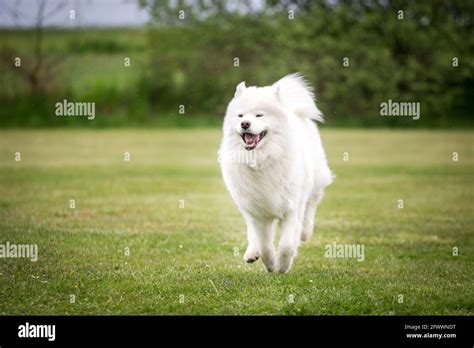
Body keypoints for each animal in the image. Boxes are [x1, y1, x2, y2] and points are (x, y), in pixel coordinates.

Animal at [219, 73, 334, 274]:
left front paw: (282, 266)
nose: (244, 123)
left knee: (310, 206)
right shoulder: (258, 211)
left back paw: (304, 232)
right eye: (240, 115)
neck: (262, 159)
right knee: (252, 233)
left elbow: (287, 244)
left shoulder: (291, 207)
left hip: (315, 182)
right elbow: (265, 244)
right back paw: (252, 252)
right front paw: (270, 264)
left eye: (259, 115)